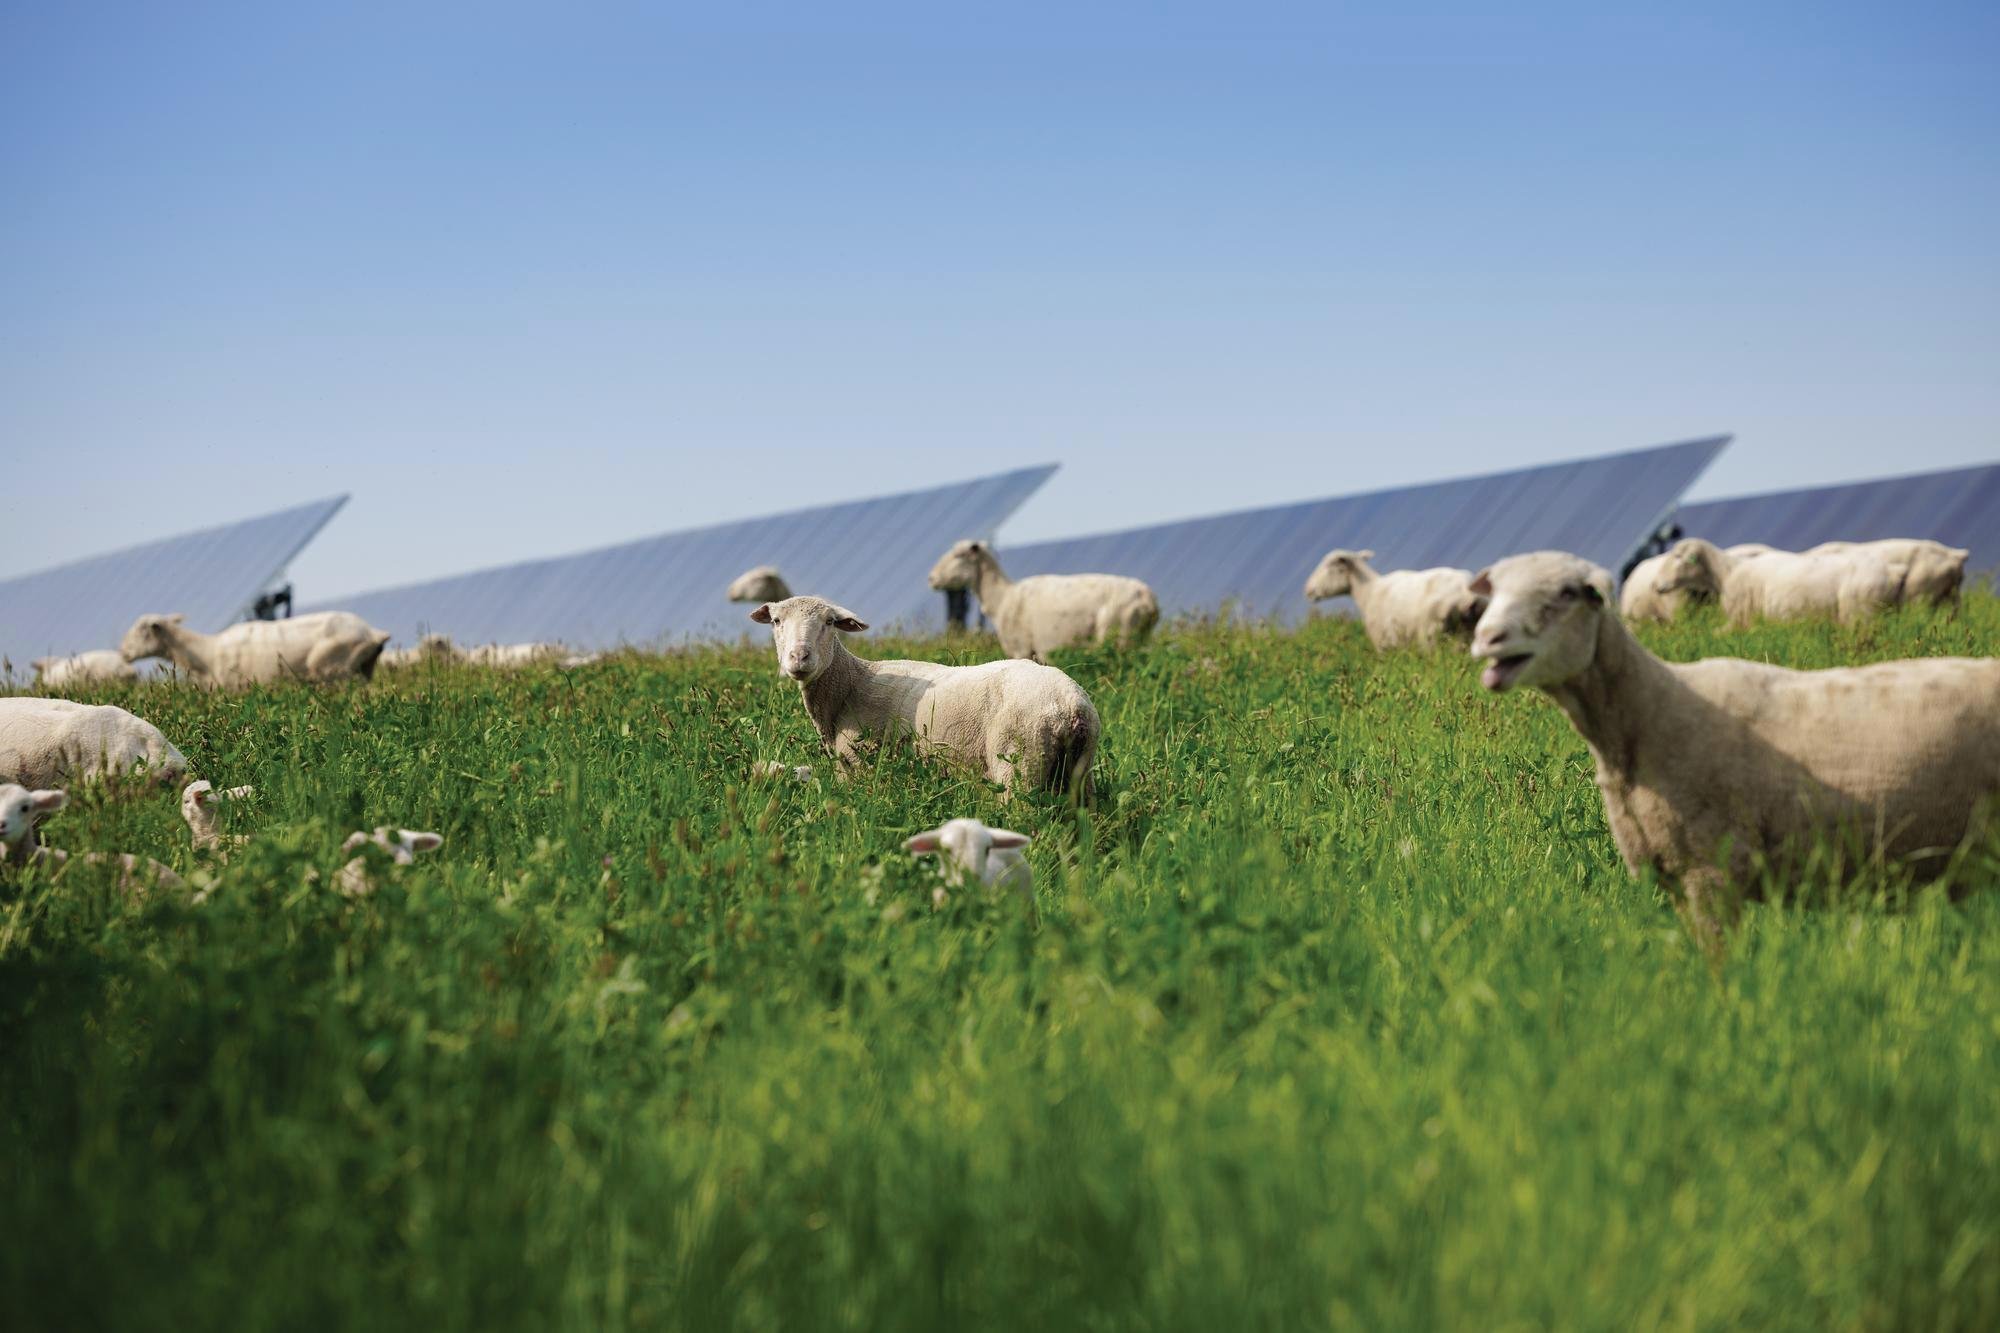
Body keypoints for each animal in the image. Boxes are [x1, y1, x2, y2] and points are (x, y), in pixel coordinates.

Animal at [120, 611, 392, 687]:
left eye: (143, 630)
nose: (123, 652)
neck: (206, 654)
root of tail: (372, 631)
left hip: (334, 671)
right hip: (363, 669)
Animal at [751, 595, 1099, 798]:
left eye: (829, 622)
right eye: (777, 621)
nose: (799, 657)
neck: (851, 684)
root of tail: (1070, 705)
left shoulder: (858, 762)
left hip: (1019, 763)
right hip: (1079, 773)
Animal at [927, 540, 1159, 661]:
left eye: (958, 555)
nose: (931, 578)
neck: (1001, 599)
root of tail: (1147, 597)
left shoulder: (1021, 649)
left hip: (1118, 632)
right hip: (1140, 635)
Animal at [1303, 550, 1481, 649]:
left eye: (1329, 567)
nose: (1307, 590)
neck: (1368, 592)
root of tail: (1465, 590)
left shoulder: (1384, 643)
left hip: (1432, 633)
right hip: (1470, 630)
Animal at [1467, 550, 2000, 945]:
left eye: (1565, 593)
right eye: (1495, 592)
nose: (1487, 638)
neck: (1648, 711)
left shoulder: (1714, 869)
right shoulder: (1675, 874)